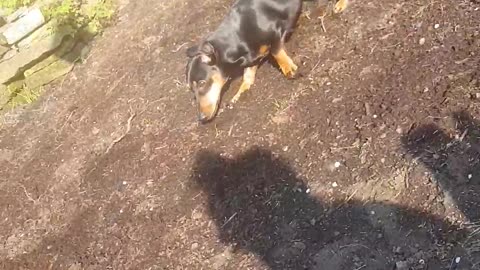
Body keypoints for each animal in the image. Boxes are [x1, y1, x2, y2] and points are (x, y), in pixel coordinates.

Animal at [186, 0, 346, 122]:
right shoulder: (251, 60)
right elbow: (247, 78)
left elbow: (277, 53)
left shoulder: (274, 34)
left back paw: (340, 4)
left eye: (201, 83)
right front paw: (238, 95)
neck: (236, 37)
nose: (201, 119)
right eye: (191, 90)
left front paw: (289, 69)